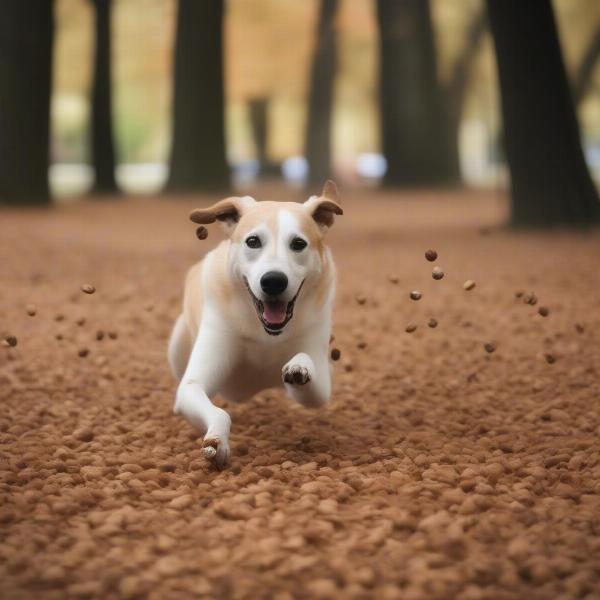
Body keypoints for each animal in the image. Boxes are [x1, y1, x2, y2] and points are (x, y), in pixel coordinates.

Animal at [168, 180, 342, 466]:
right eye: (253, 241)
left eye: (298, 243)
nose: (273, 281)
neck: (265, 334)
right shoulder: (190, 388)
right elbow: (216, 410)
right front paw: (216, 442)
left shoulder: (321, 387)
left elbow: (308, 372)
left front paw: (299, 367)